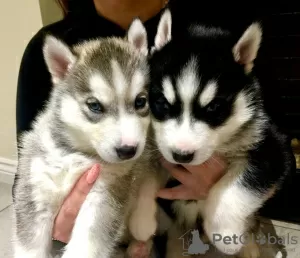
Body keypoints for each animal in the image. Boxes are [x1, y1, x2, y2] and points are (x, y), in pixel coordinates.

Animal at [12, 18, 161, 258]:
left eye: (140, 101)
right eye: (94, 105)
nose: (128, 150)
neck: (77, 154)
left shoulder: (105, 193)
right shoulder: (35, 190)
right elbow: (29, 246)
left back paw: (142, 234)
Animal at [148, 9, 296, 256]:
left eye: (214, 108)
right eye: (161, 102)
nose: (181, 156)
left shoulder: (272, 145)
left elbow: (242, 184)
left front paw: (226, 233)